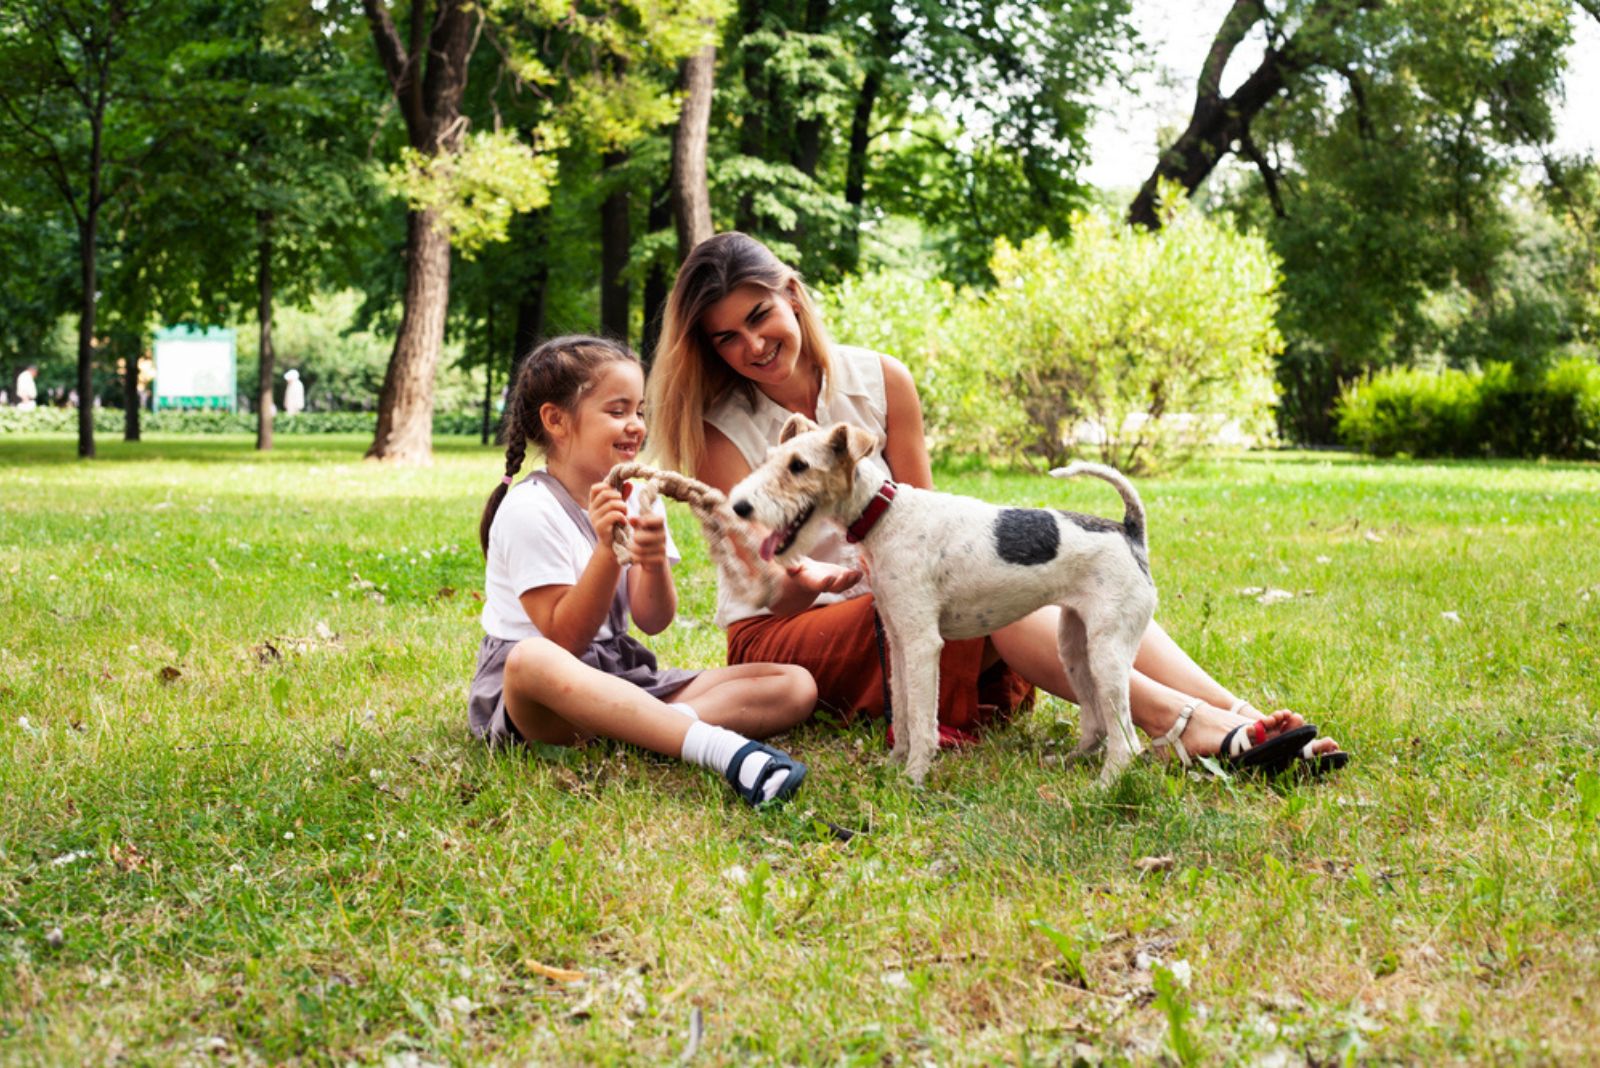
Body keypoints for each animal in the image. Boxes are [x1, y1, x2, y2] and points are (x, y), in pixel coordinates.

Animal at [732, 415, 1158, 783]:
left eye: (799, 465)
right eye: (770, 459)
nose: (739, 507)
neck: (884, 515)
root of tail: (1130, 531)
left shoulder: (922, 643)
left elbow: (922, 718)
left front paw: (913, 777)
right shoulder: (897, 638)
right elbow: (903, 711)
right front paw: (894, 764)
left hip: (1107, 653)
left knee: (1126, 738)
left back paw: (1103, 786)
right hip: (1073, 648)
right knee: (1097, 722)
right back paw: (1068, 761)